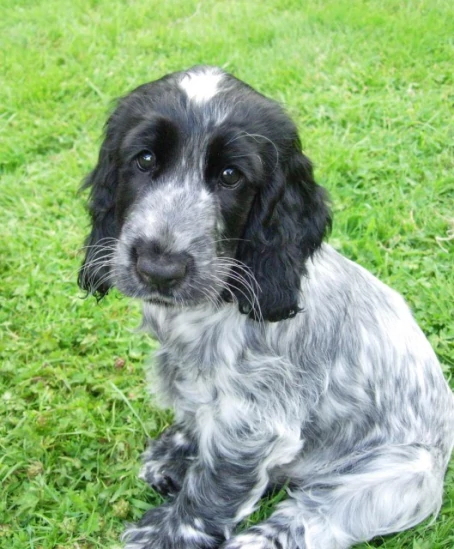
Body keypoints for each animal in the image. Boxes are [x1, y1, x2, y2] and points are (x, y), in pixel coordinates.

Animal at [78, 66, 454, 549]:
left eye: (230, 175)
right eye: (144, 160)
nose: (159, 268)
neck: (213, 307)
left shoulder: (254, 421)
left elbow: (215, 486)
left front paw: (169, 534)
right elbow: (195, 415)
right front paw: (176, 453)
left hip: (393, 479)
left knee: (311, 515)